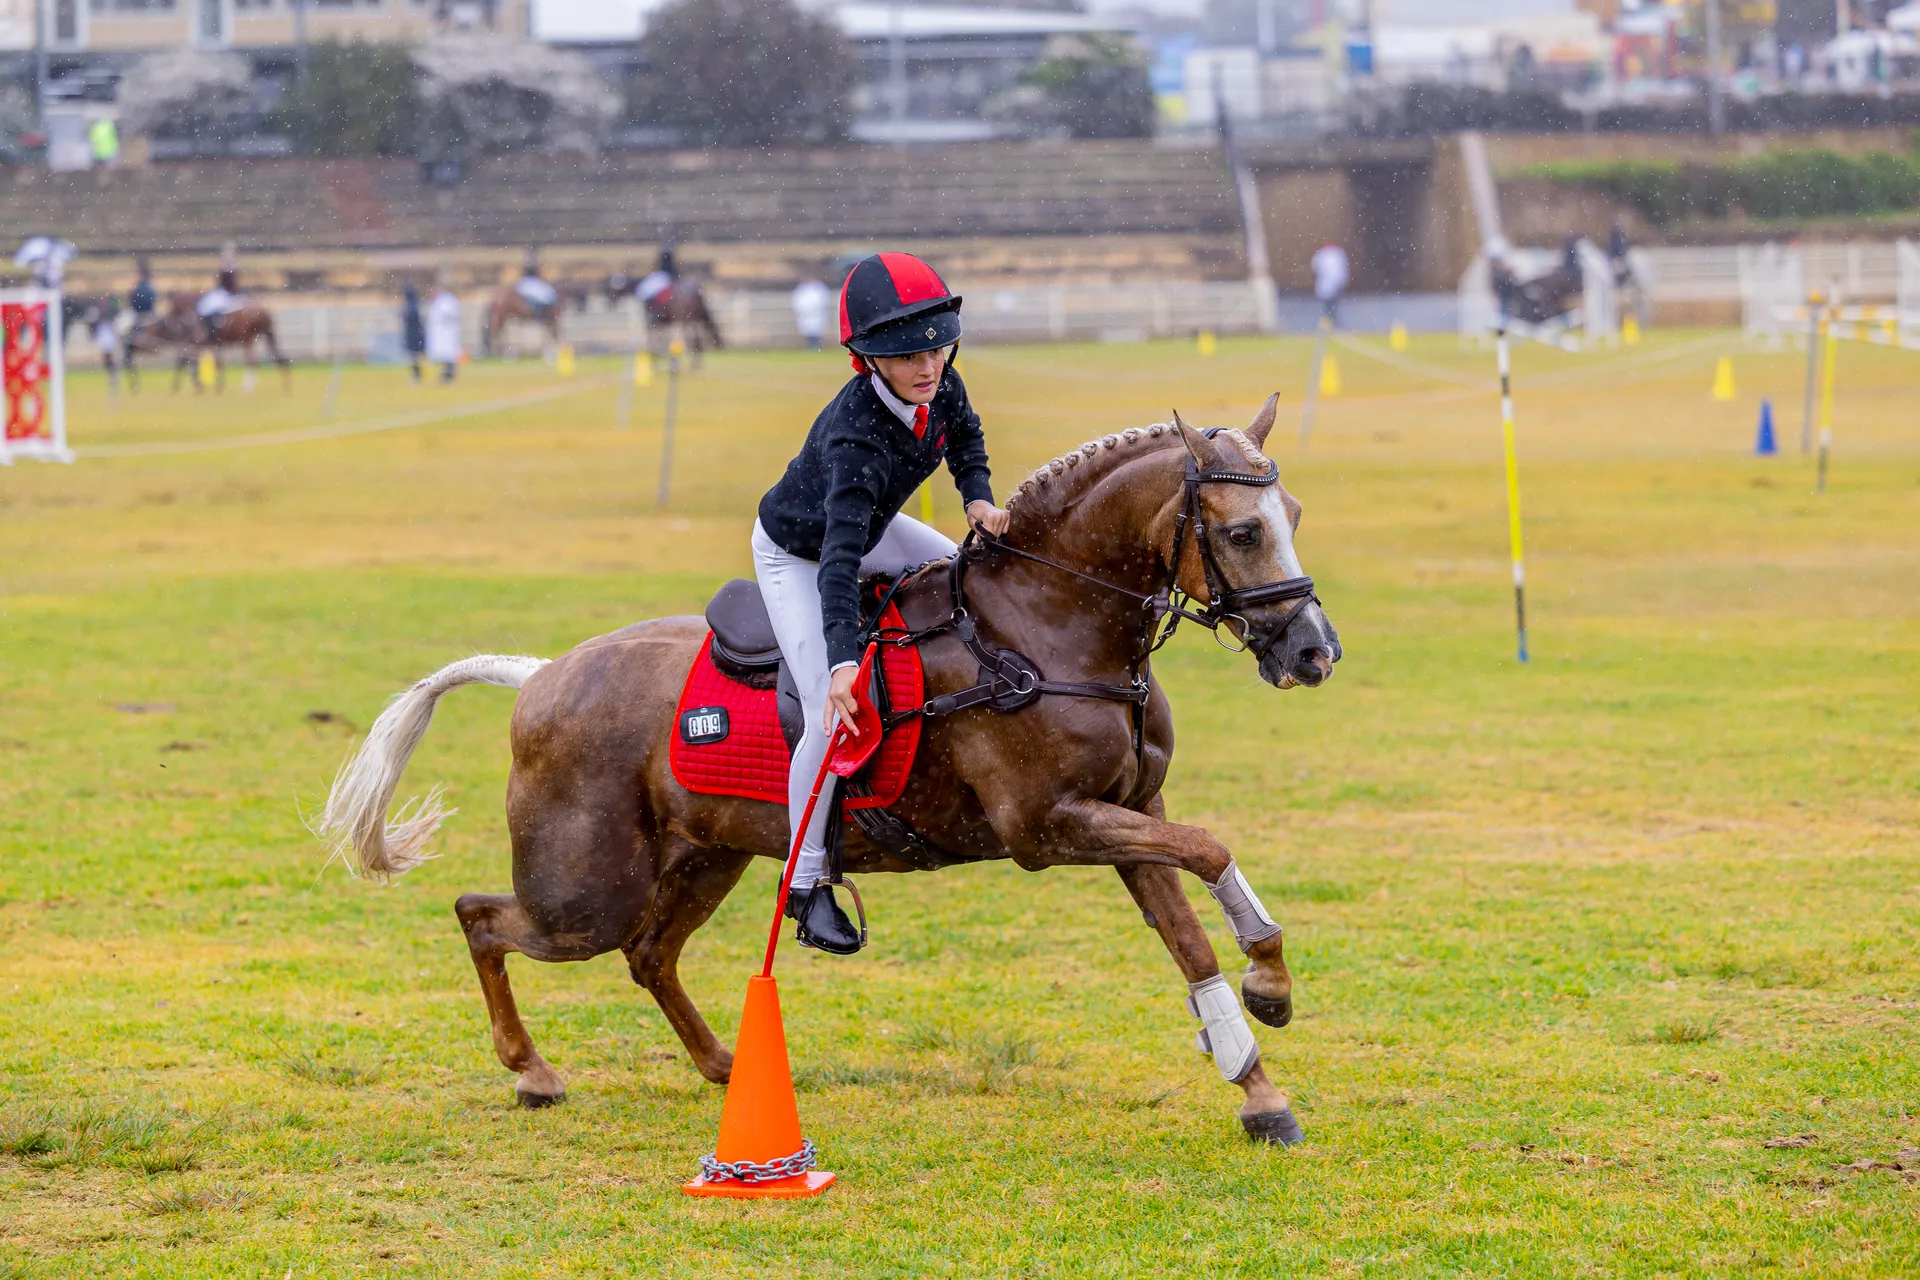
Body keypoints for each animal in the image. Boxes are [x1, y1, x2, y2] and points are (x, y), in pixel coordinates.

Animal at [315, 397, 1340, 1145]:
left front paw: (1259, 1067)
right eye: (1242, 534)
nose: (1314, 652)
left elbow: (1192, 929)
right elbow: (1209, 852)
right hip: (584, 892)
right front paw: (1268, 993)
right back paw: (532, 1072)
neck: (1047, 624)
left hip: (708, 857)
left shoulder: (1129, 810)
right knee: (485, 919)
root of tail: (539, 676)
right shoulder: (1050, 826)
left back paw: (728, 1067)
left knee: (649, 955)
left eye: (1293, 515)